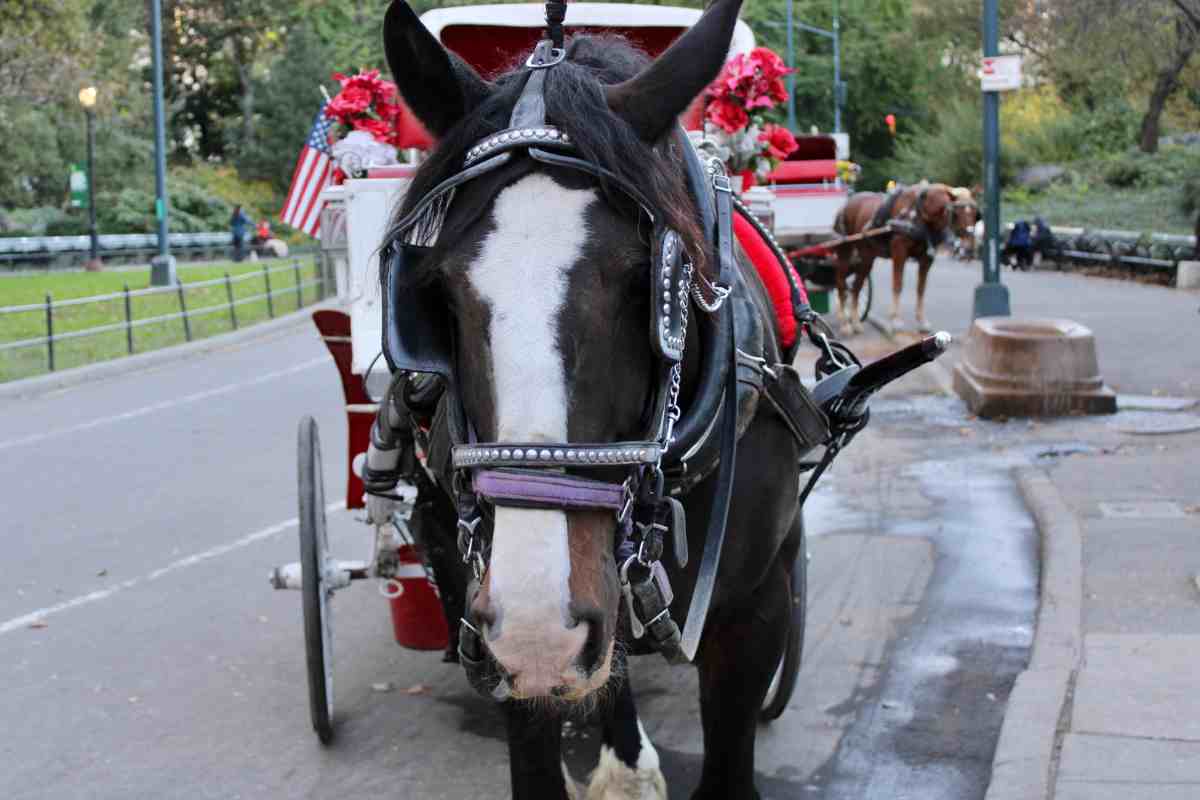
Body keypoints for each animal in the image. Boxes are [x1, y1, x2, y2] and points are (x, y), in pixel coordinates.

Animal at [830, 182, 955, 335]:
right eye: (935, 202)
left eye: (948, 200)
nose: (950, 240)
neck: (916, 216)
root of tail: (845, 206)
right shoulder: (899, 251)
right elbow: (898, 284)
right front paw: (895, 320)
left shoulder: (926, 259)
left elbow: (921, 288)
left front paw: (922, 321)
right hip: (845, 252)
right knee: (841, 283)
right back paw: (844, 323)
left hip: (866, 258)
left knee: (856, 286)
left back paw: (855, 323)